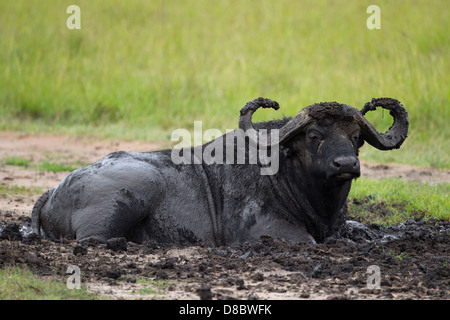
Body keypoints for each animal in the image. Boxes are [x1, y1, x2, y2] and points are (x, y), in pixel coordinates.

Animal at [31, 97, 408, 245]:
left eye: (356, 138)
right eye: (314, 136)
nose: (346, 164)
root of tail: (54, 190)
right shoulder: (266, 232)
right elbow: (310, 241)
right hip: (137, 186)